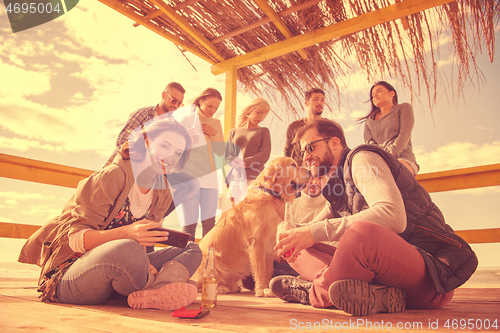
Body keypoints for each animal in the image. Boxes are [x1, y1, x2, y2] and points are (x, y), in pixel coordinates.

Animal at [191, 156, 308, 296]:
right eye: (293, 165)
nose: (311, 172)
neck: (271, 193)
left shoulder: (269, 246)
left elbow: (268, 270)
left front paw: (268, 288)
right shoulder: (257, 242)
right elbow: (260, 269)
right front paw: (262, 289)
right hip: (210, 260)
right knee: (199, 284)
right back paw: (220, 288)